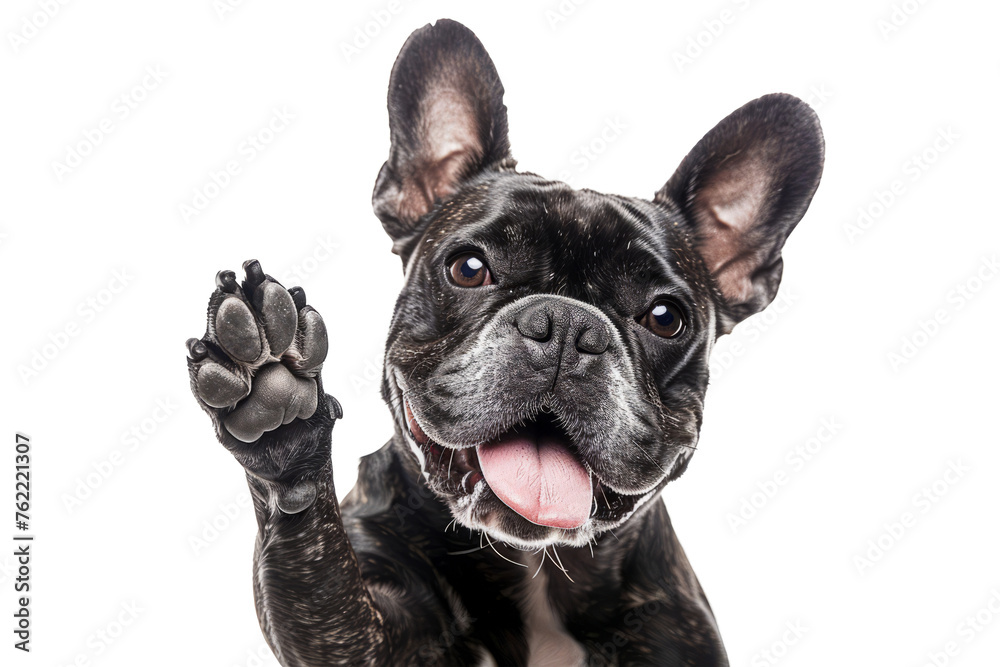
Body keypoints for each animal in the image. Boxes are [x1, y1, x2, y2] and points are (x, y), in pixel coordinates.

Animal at [186, 18, 820, 664]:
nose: (567, 325)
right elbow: (325, 583)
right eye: (469, 268)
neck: (533, 562)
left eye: (666, 317)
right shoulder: (369, 637)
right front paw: (281, 411)